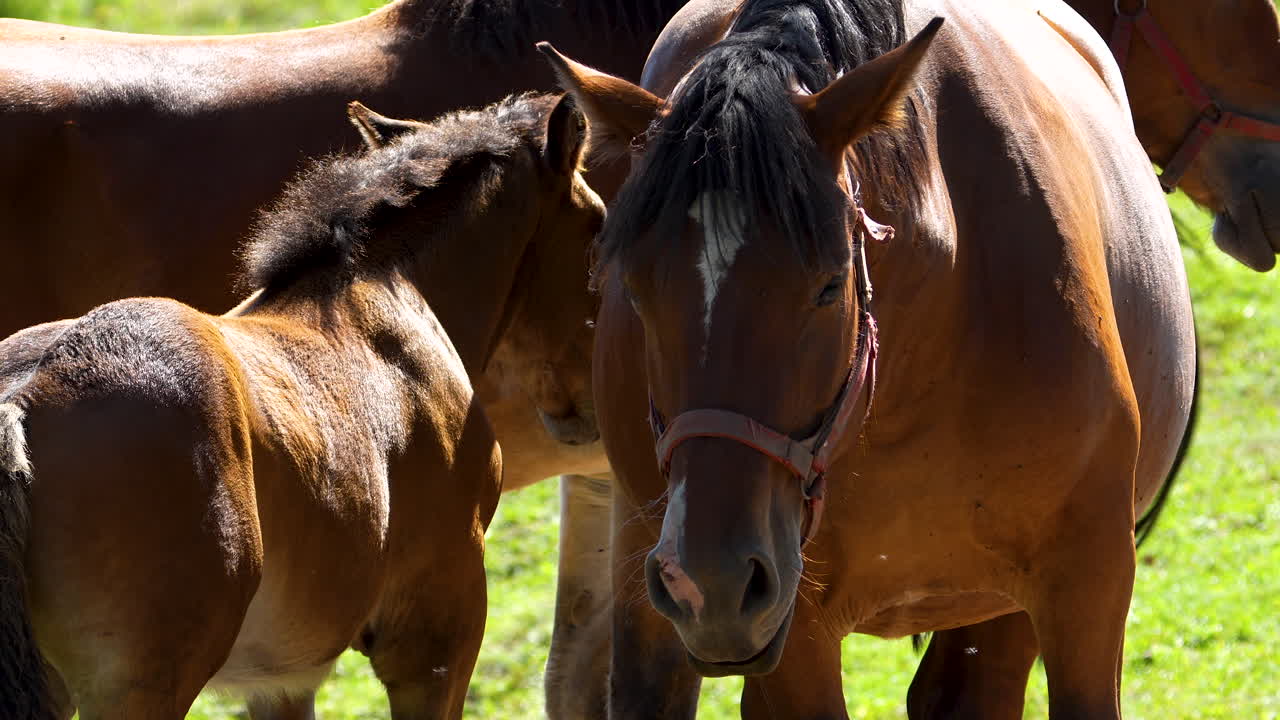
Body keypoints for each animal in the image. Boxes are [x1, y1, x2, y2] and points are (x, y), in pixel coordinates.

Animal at [0, 91, 600, 720]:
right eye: (598, 226)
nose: (589, 409)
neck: (386, 292)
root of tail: (22, 398)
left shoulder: (282, 677)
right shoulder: (436, 637)